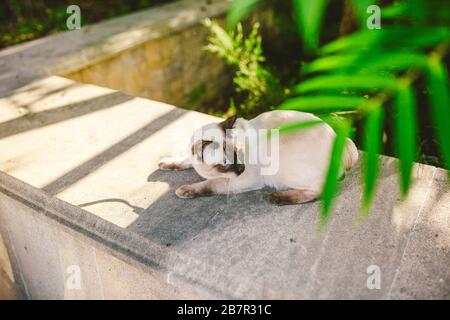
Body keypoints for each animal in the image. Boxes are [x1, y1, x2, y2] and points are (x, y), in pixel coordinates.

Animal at [158, 110, 358, 205]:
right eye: (225, 164)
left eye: (238, 153)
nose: (241, 168)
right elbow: (183, 160)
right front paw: (164, 163)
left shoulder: (242, 181)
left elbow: (209, 184)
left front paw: (185, 190)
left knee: (320, 191)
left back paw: (277, 198)